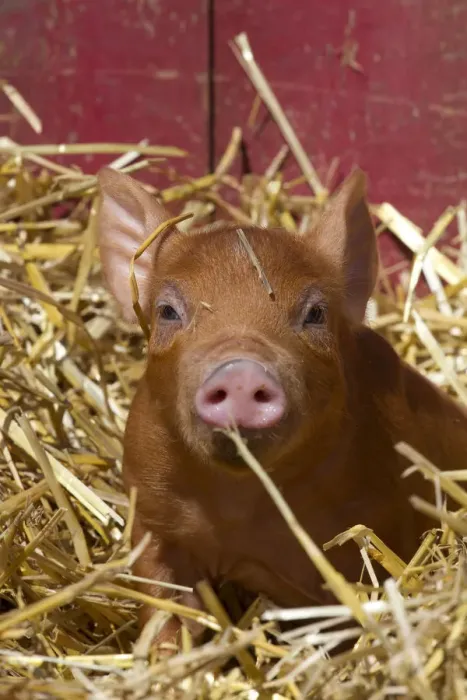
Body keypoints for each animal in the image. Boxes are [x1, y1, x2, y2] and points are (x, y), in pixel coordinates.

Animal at [97, 166, 467, 646]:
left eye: (315, 314)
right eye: (167, 311)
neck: (236, 510)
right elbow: (166, 610)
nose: (239, 372)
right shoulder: (152, 521)